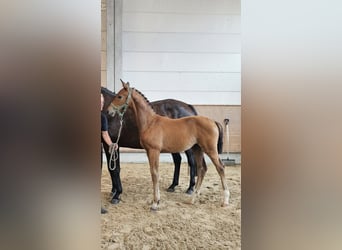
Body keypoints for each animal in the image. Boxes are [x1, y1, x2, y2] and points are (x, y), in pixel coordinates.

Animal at [107, 81, 230, 210]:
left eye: (119, 96)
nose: (109, 111)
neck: (150, 122)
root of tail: (213, 121)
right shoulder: (149, 151)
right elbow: (154, 173)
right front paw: (157, 200)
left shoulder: (154, 151)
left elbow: (155, 174)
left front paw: (155, 203)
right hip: (198, 149)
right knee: (202, 169)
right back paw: (192, 199)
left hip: (210, 149)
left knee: (220, 168)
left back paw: (225, 200)